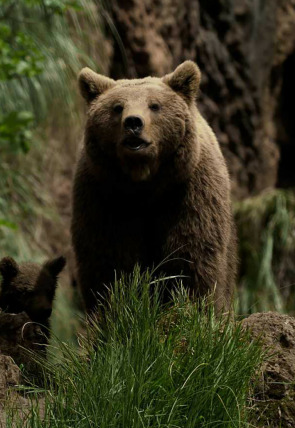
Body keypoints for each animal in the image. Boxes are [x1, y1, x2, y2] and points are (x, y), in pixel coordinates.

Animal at [71, 59, 238, 314]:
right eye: (117, 107)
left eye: (154, 105)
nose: (133, 123)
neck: (144, 183)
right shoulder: (103, 194)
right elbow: (107, 258)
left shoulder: (189, 191)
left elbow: (191, 253)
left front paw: (187, 309)